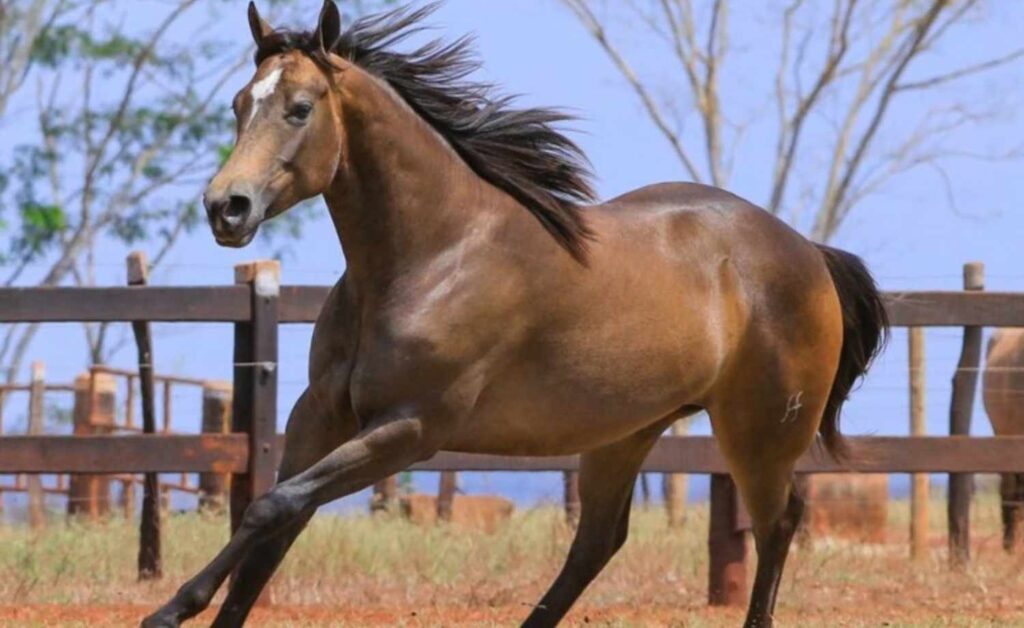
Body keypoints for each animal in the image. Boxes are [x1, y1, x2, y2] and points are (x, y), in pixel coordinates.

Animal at [143, 3, 888, 626]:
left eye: (299, 108)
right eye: (241, 103)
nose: (226, 207)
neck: (432, 255)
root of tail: (808, 252)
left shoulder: (413, 428)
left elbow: (273, 506)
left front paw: (169, 610)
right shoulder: (319, 416)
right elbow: (274, 525)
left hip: (760, 433)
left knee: (777, 525)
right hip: (625, 431)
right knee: (598, 542)